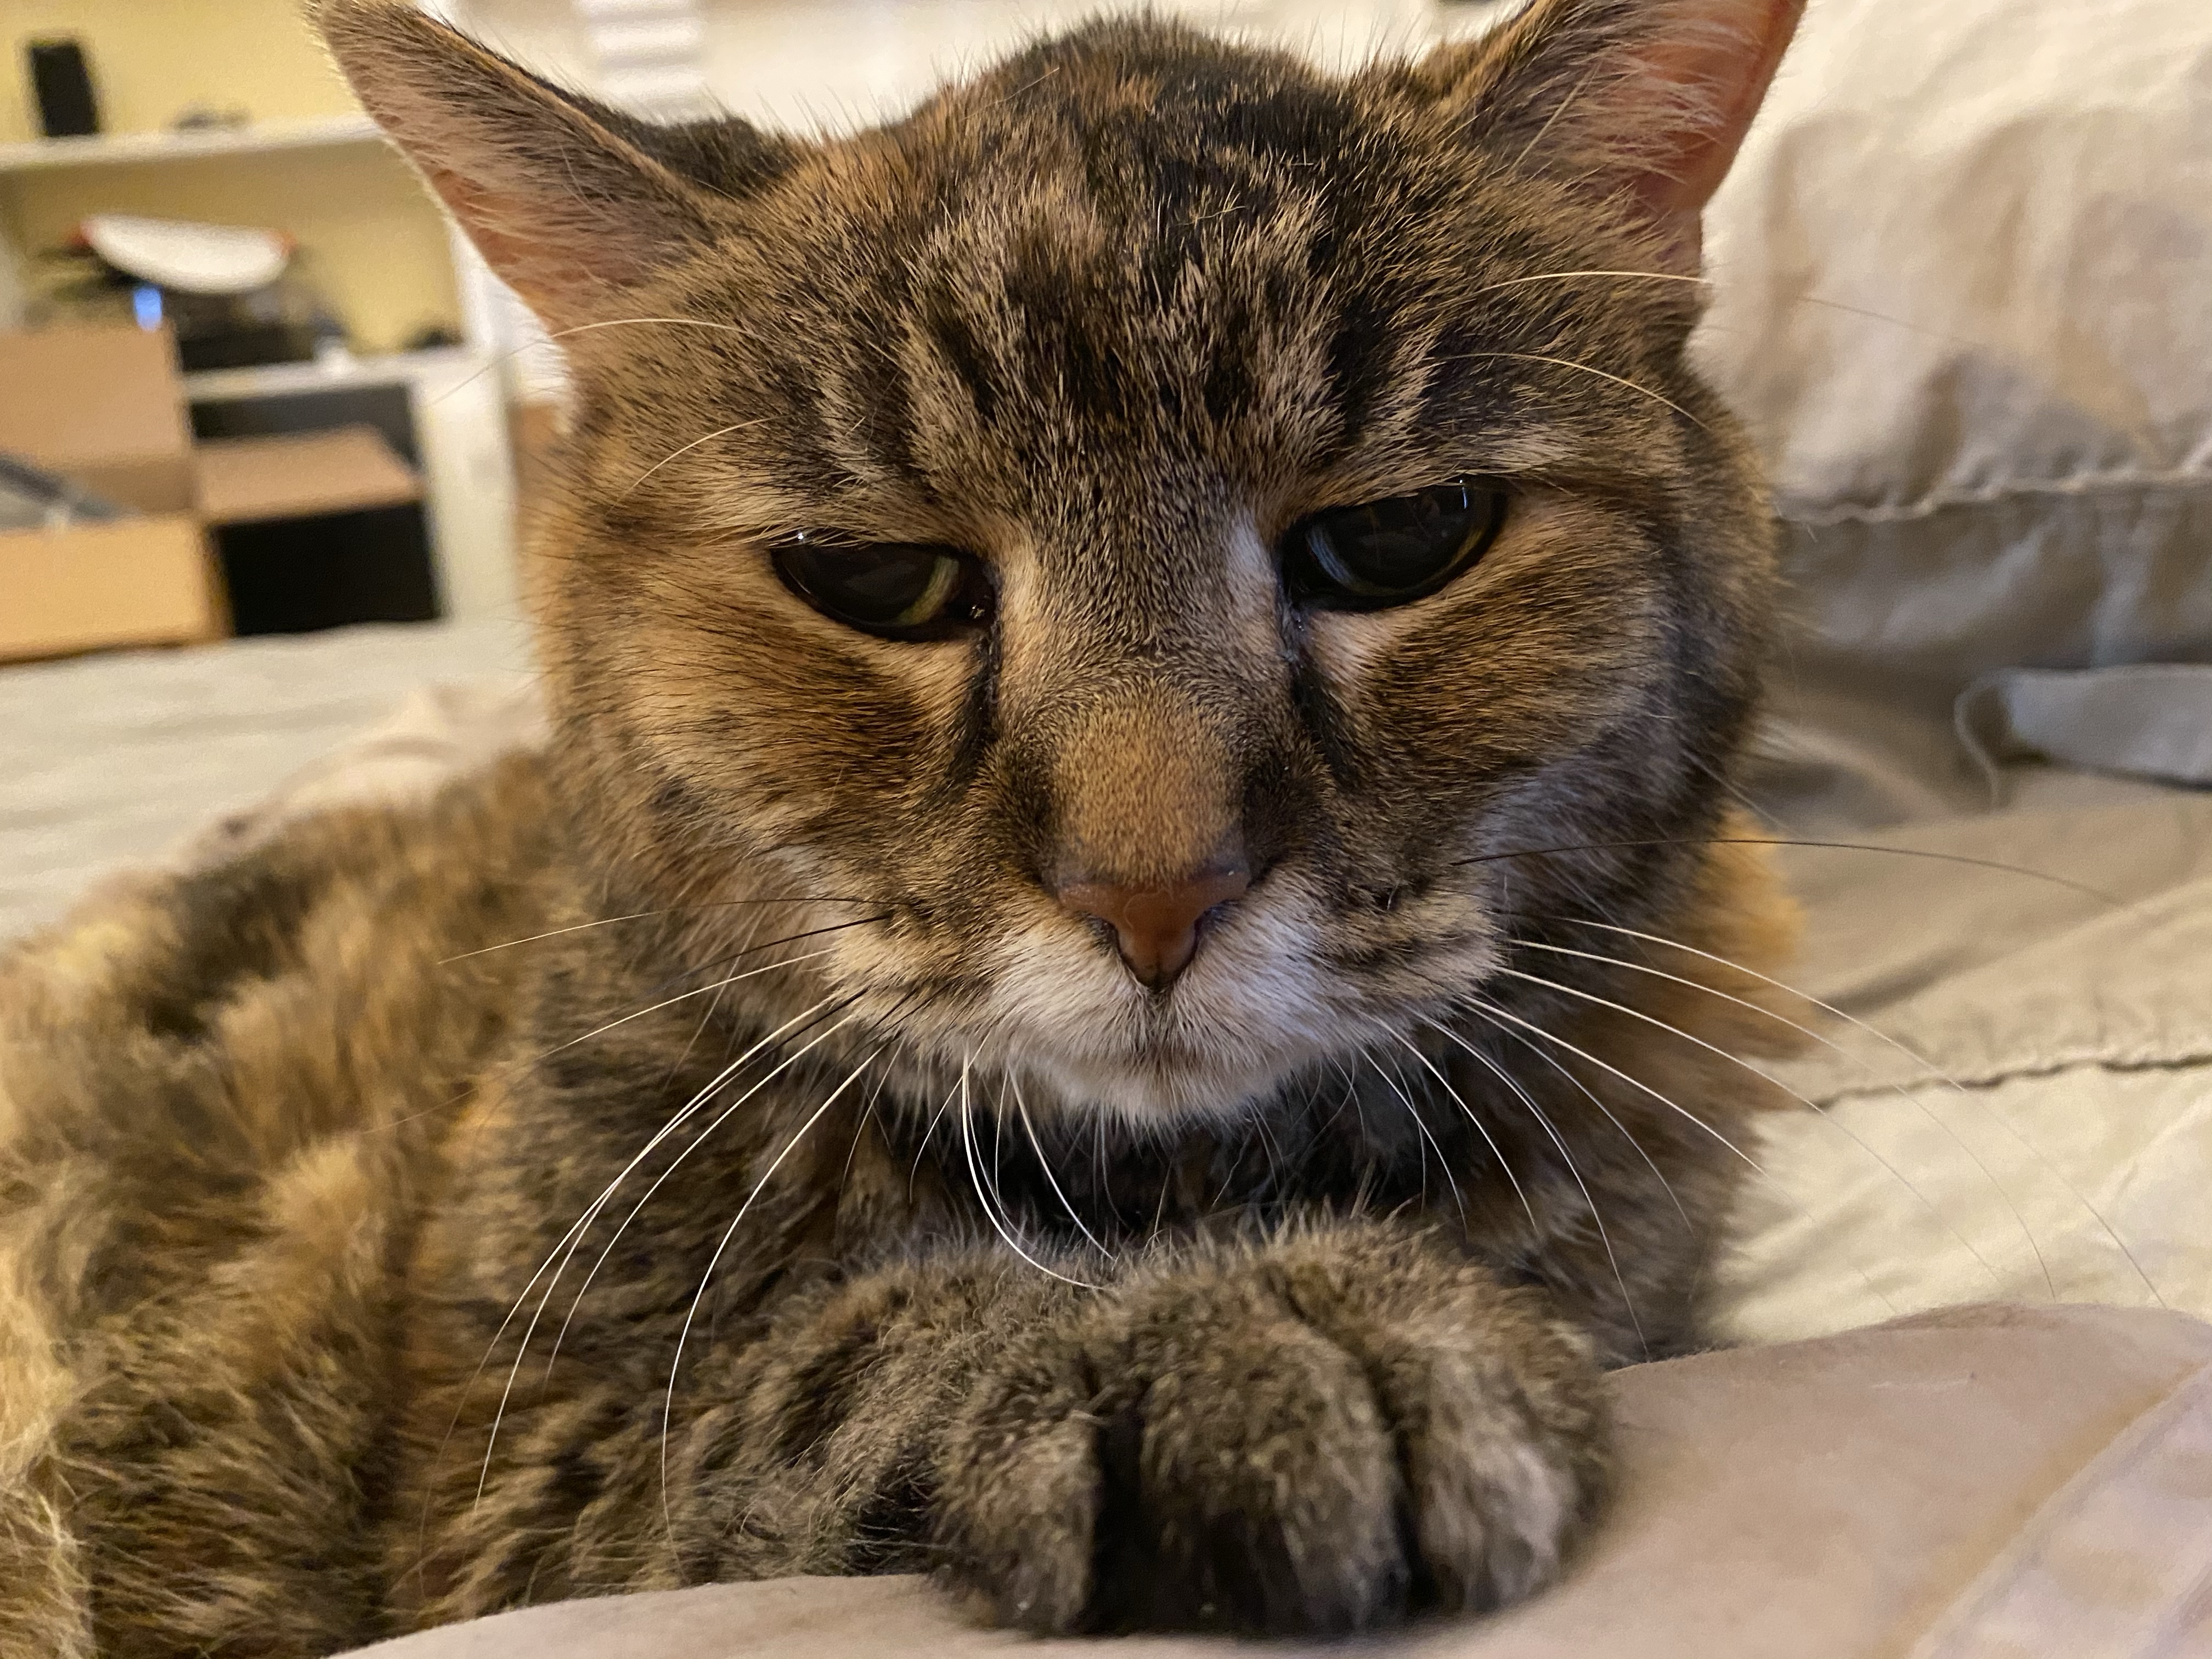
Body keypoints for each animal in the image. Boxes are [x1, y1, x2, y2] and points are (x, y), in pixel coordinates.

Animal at [0, 0, 1805, 1654]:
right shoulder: (505, 1499)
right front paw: (1227, 1333)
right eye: (874, 578)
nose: (1155, 890)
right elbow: (835, 1362)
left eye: (1403, 536)